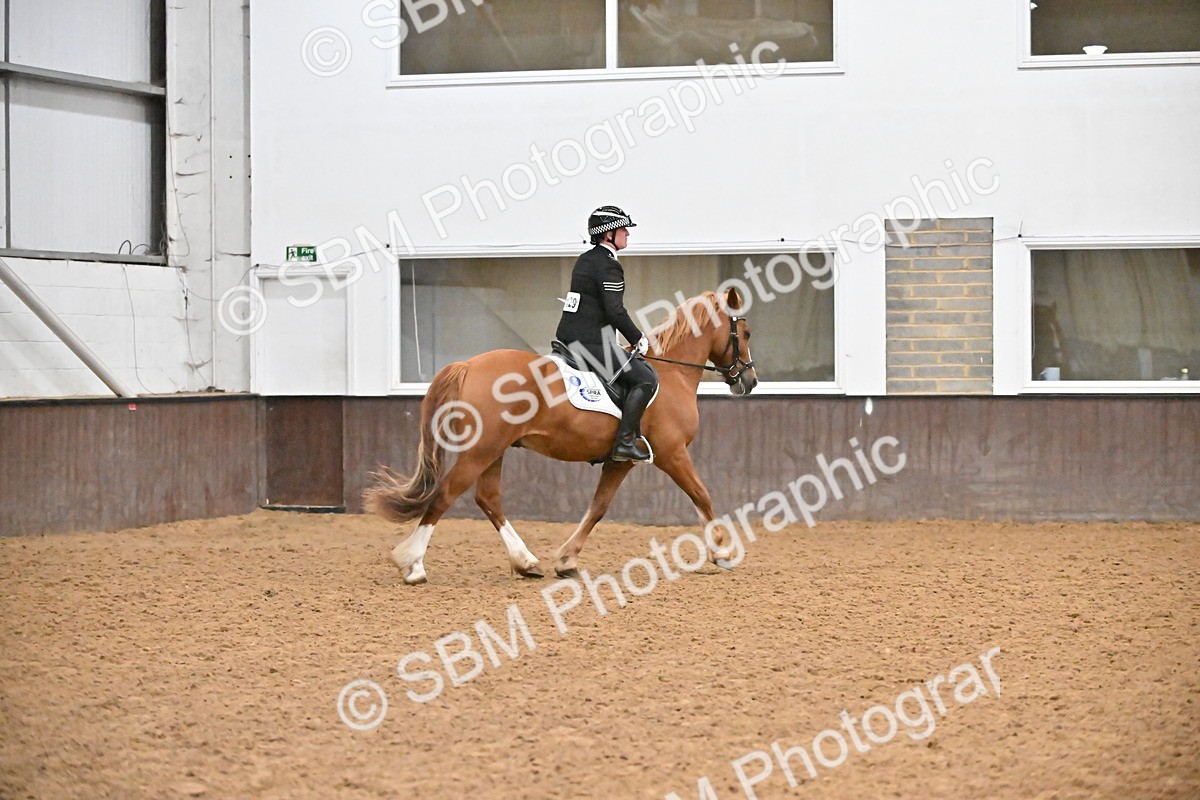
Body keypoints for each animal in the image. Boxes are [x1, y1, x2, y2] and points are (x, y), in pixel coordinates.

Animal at [363, 285, 758, 584]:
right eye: (746, 333)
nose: (750, 381)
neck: (672, 373)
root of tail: (468, 365)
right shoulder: (672, 453)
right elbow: (702, 495)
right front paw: (722, 551)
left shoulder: (620, 462)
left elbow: (597, 508)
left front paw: (566, 561)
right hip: (481, 450)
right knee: (445, 495)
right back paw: (412, 565)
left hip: (494, 450)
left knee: (488, 499)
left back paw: (525, 562)